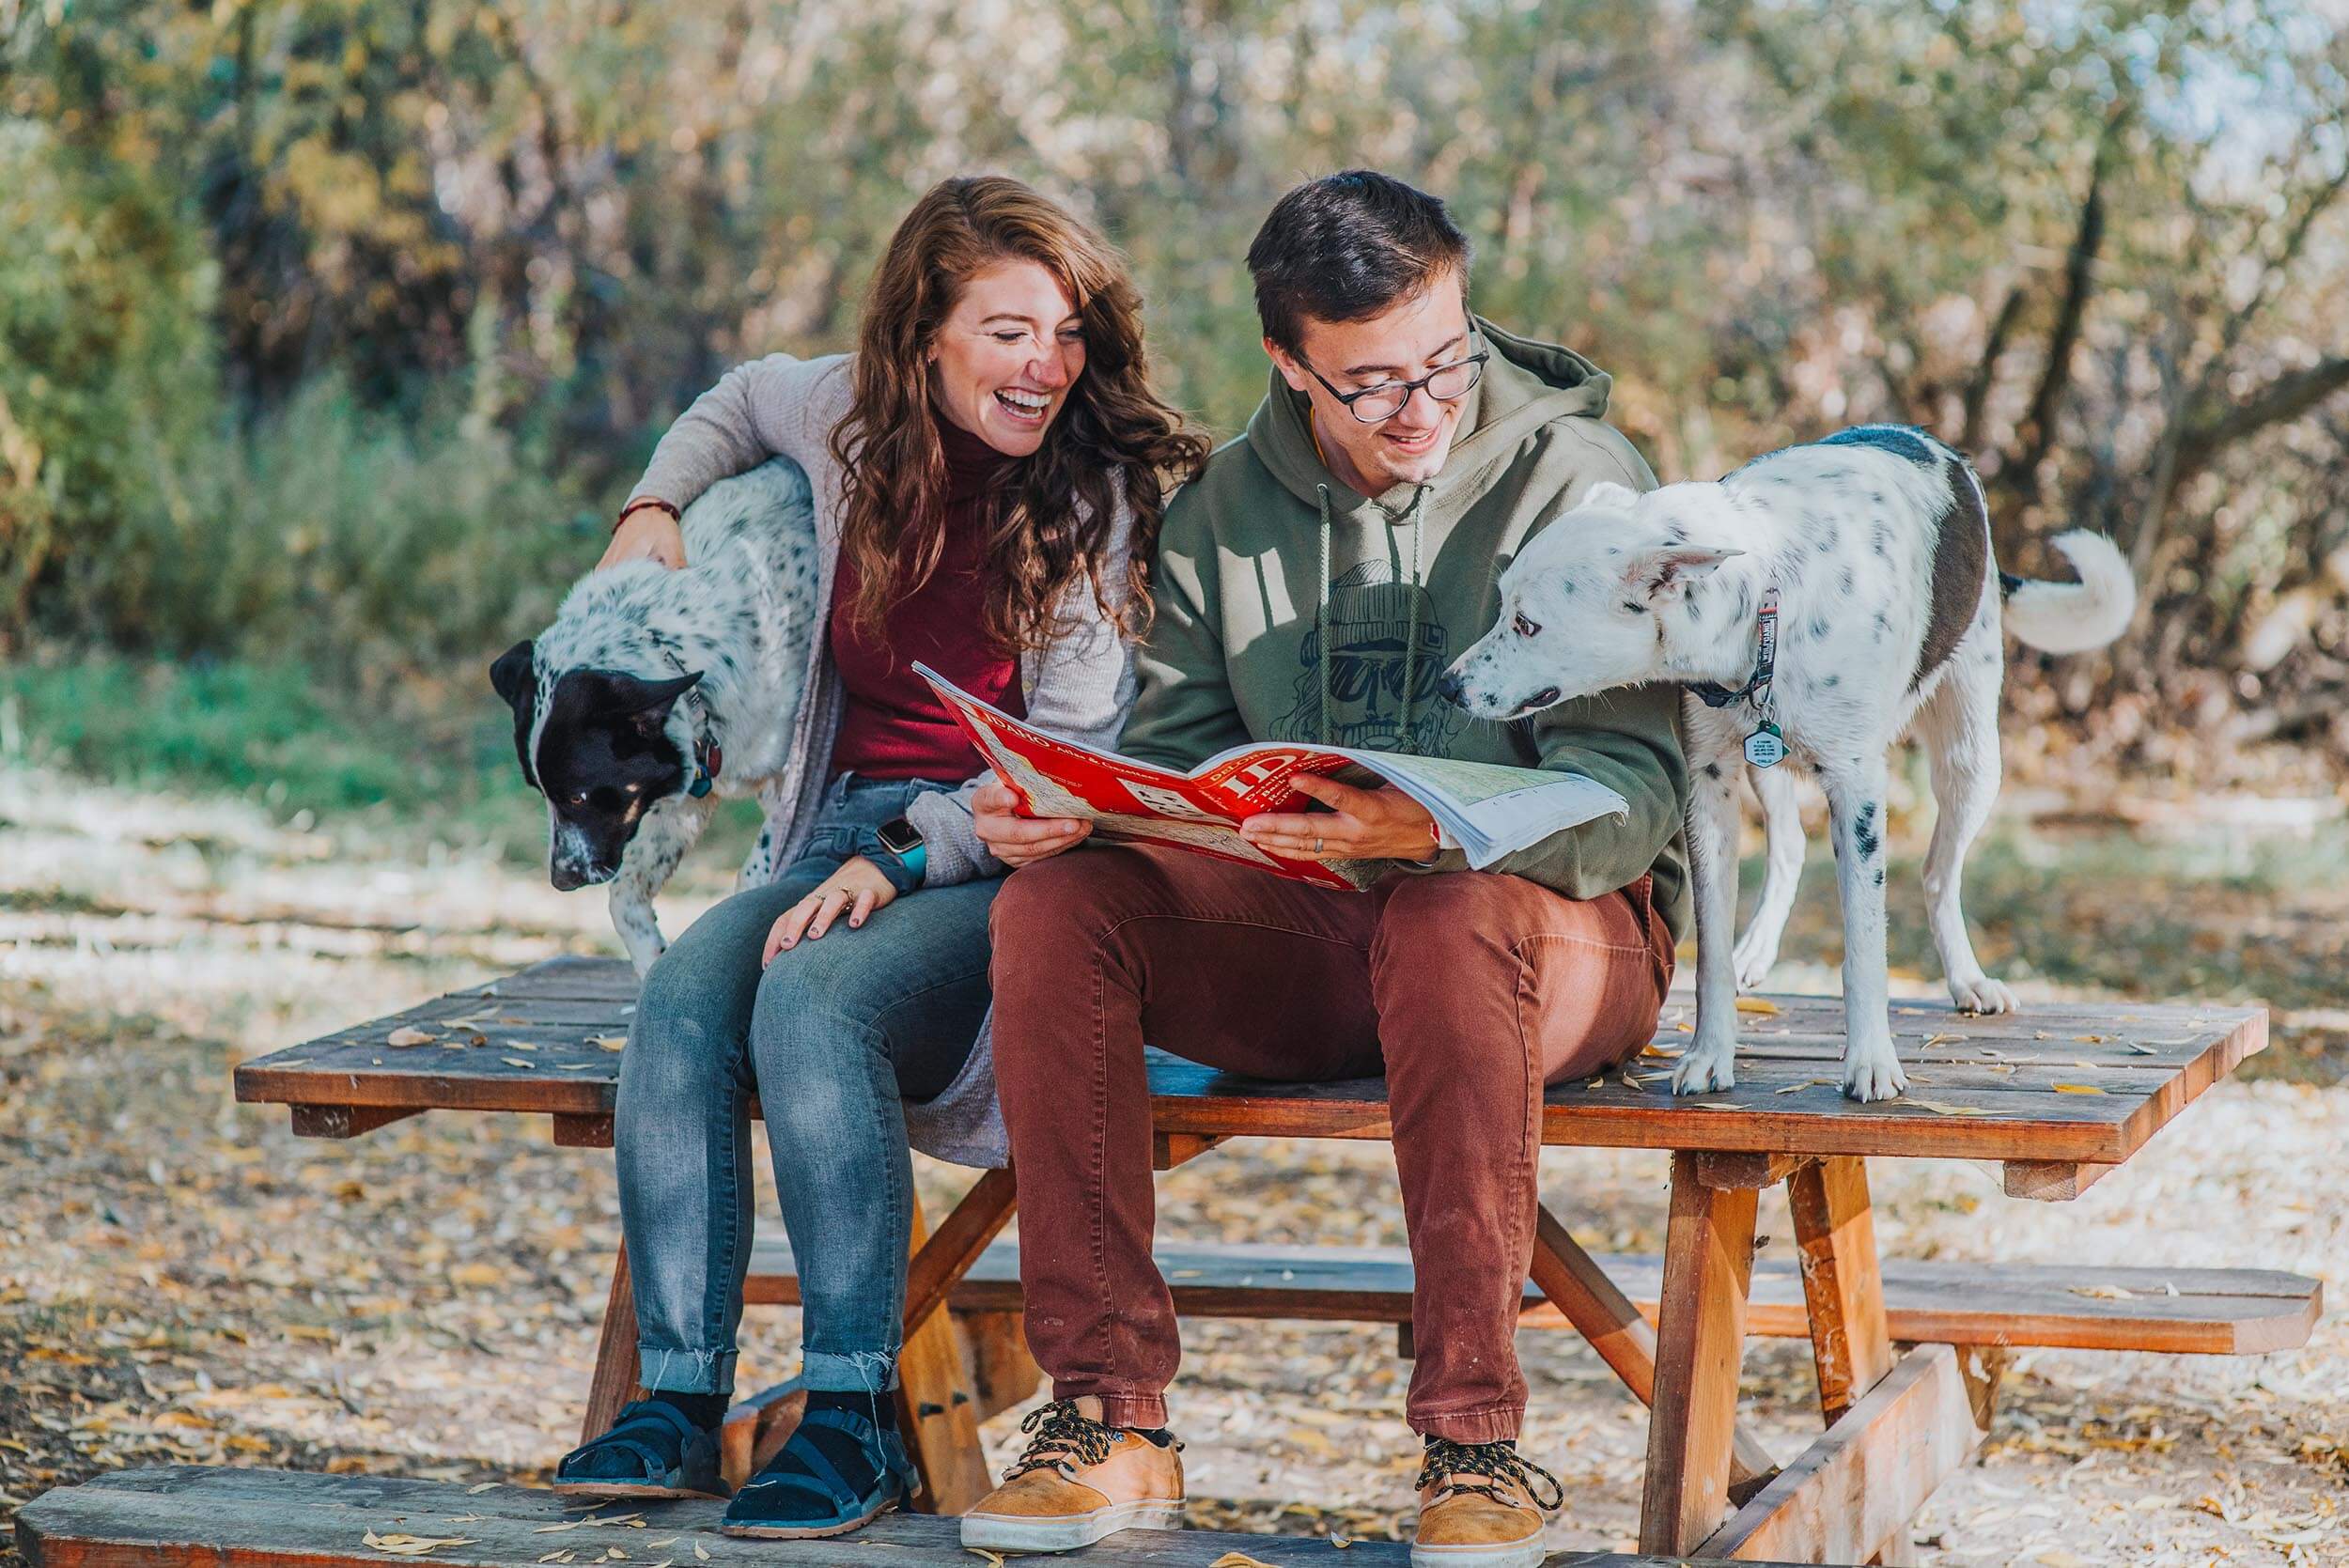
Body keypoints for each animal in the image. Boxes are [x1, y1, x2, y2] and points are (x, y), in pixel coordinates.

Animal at [490, 455, 822, 967]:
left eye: (579, 797)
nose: (560, 880)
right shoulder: (676, 801)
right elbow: (624, 897)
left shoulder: (793, 787)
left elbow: (756, 873)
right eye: (540, 792)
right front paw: (650, 965)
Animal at [1438, 422, 2142, 1098]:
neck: (1763, 596)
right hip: (1765, 759)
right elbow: (1712, 948)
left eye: (1528, 624)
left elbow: (1865, 944)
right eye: (1502, 607)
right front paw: (1710, 1054)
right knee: (1790, 847)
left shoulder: (1858, 791)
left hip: (1970, 758)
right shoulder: (1711, 784)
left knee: (1939, 873)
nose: (1449, 686)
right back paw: (1757, 950)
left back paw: (1968, 979)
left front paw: (1870, 1062)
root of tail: (1945, 452)